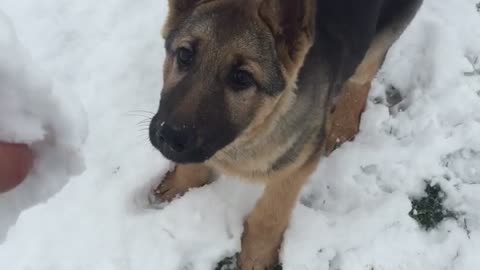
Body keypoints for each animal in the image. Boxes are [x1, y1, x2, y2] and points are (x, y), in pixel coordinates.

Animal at [148, 1, 422, 268]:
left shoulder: (298, 165)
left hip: (380, 39)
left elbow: (271, 213)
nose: (169, 136)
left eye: (241, 78)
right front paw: (179, 186)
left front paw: (257, 256)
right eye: (185, 55)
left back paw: (341, 127)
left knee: (363, 78)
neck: (255, 129)